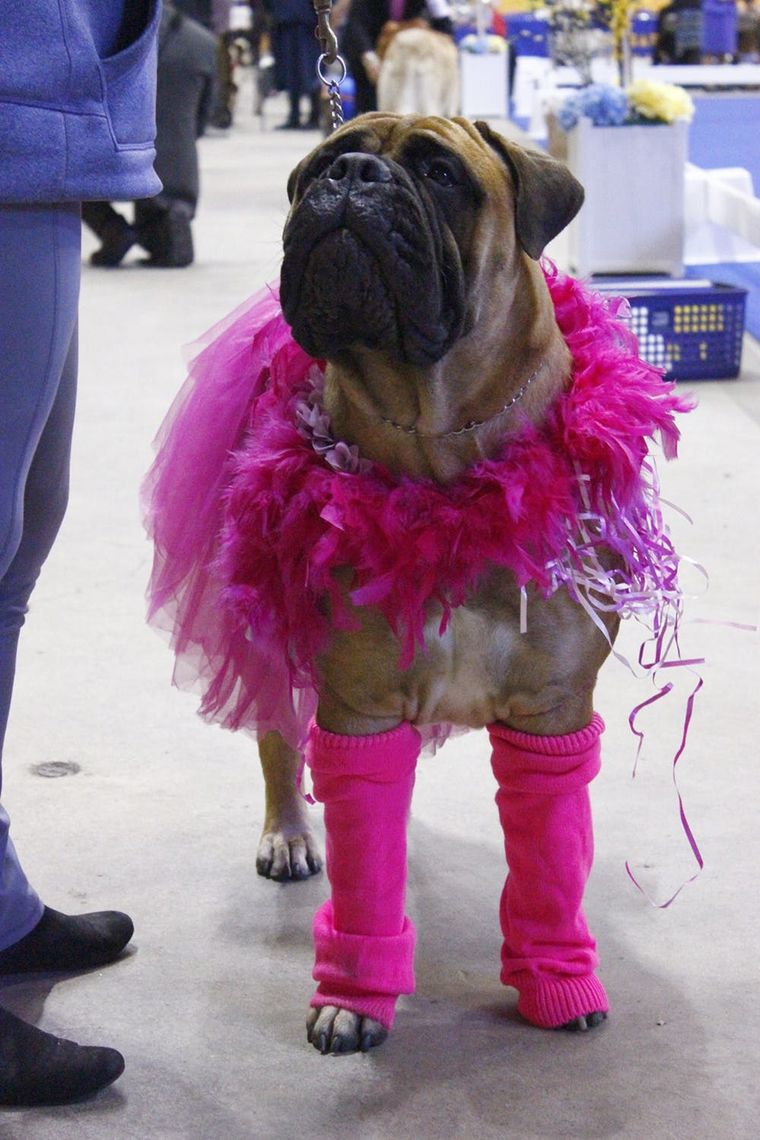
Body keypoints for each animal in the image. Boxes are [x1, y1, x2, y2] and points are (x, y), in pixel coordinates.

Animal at [252, 113, 619, 1048]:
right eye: (315, 167)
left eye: (441, 173)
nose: (349, 174)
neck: (438, 442)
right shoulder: (359, 701)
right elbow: (365, 871)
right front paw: (353, 999)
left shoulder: (552, 711)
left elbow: (550, 862)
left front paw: (558, 980)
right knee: (279, 740)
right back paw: (289, 832)